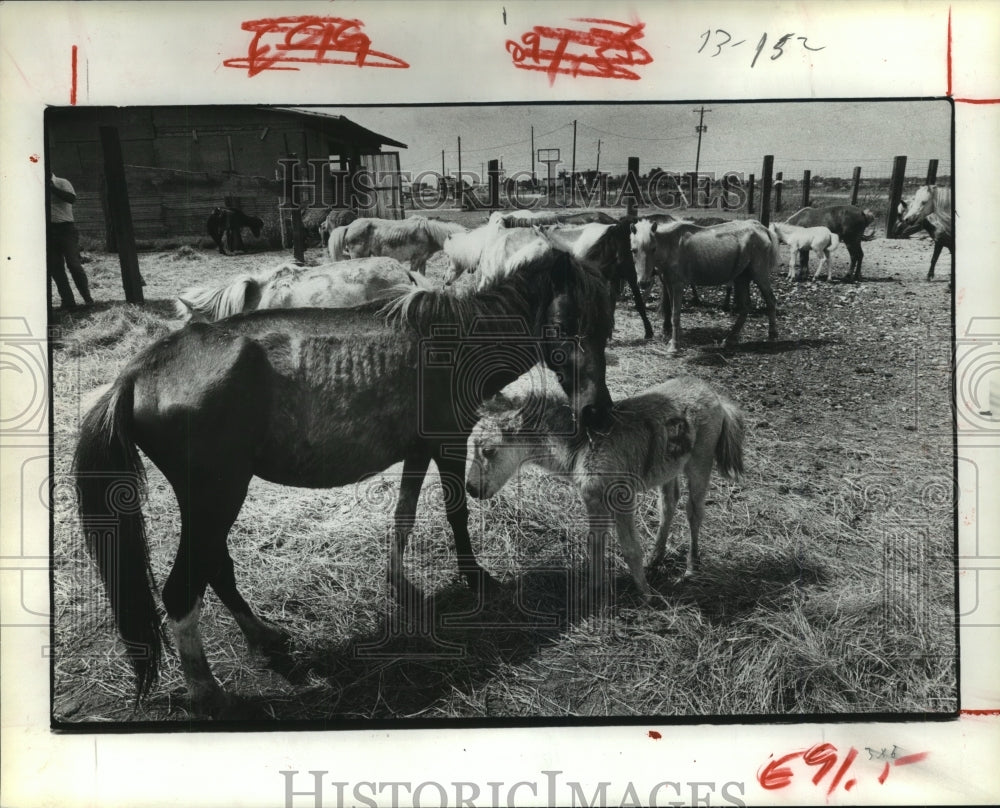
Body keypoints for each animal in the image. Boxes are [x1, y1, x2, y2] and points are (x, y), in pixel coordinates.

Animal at [466, 374, 744, 600]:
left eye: (488, 450)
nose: (471, 488)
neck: (583, 444)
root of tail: (714, 394)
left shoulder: (621, 498)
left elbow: (630, 547)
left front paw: (647, 595)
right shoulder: (593, 499)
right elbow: (596, 543)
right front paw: (591, 591)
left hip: (700, 463)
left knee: (694, 511)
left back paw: (691, 567)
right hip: (669, 469)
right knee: (668, 504)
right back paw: (656, 557)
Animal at [632, 218, 780, 354]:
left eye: (653, 248)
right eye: (633, 250)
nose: (643, 282)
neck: (671, 244)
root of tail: (761, 228)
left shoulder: (678, 285)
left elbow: (675, 315)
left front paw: (674, 346)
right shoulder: (669, 284)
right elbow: (673, 312)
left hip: (759, 275)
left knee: (771, 300)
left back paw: (772, 335)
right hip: (741, 278)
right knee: (745, 307)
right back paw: (730, 339)